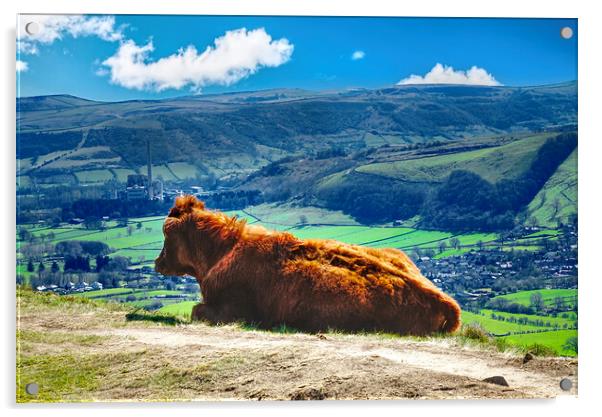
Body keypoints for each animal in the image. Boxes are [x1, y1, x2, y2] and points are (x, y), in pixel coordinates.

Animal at [154, 195, 460, 334]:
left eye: (167, 234)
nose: (157, 262)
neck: (223, 249)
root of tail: (447, 303)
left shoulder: (232, 311)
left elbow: (196, 311)